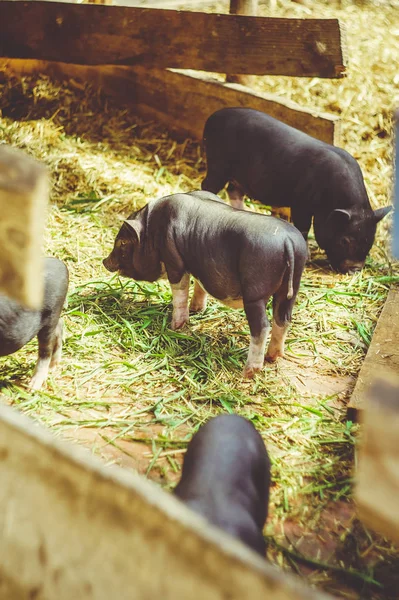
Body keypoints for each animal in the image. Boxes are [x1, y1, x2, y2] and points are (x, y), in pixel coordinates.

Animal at [0, 256, 69, 390]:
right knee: (60, 325)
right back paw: (53, 367)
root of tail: (60, 264)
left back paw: (33, 387)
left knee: (46, 349)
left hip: (52, 312)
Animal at [102, 190, 306, 378]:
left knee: (262, 327)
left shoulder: (174, 259)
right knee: (283, 318)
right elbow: (200, 286)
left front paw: (175, 327)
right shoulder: (201, 263)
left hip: (255, 293)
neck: (151, 229)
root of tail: (287, 241)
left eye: (122, 242)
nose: (104, 261)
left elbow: (180, 291)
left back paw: (248, 372)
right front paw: (196, 310)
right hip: (292, 286)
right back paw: (273, 357)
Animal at [202, 108, 392, 274]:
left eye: (370, 239)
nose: (355, 269)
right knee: (208, 185)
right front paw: (306, 258)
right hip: (218, 164)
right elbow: (303, 227)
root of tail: (212, 118)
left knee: (233, 191)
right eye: (344, 240)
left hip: (238, 176)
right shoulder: (302, 203)